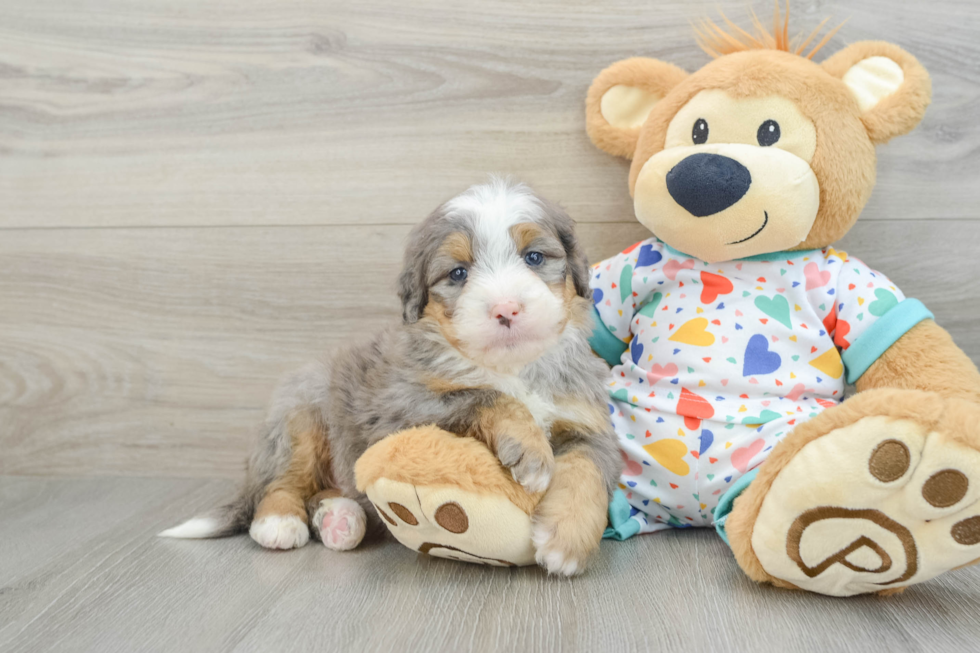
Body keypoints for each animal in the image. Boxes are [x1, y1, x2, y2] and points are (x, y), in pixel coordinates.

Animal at [161, 180, 620, 576]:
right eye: (458, 273)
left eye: (534, 258)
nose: (505, 308)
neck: (513, 368)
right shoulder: (399, 408)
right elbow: (485, 395)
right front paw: (530, 449)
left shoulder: (587, 419)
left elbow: (588, 469)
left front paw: (566, 541)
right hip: (300, 413)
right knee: (283, 482)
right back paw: (279, 522)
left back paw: (339, 520)